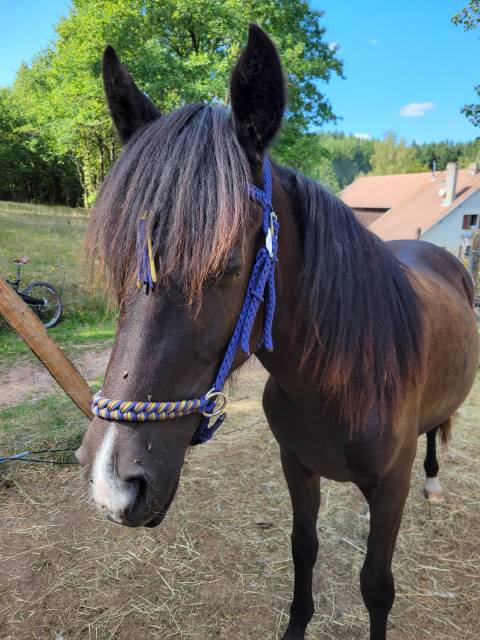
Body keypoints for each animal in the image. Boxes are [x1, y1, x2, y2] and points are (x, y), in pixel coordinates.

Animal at [76, 25, 479, 640]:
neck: (338, 386)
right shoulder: (297, 468)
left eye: (227, 265)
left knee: (436, 433)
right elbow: (303, 549)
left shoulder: (391, 488)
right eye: (118, 263)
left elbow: (376, 585)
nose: (111, 486)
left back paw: (433, 482)